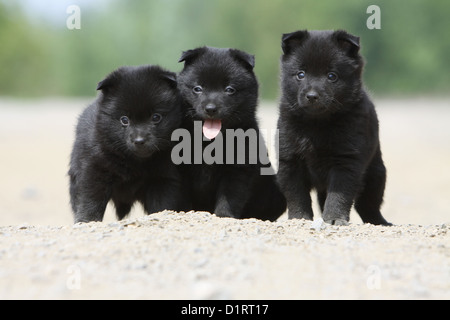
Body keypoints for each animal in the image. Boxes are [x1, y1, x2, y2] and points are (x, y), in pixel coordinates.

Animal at [68, 63, 185, 221]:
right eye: (124, 120)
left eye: (156, 117)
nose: (139, 140)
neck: (136, 161)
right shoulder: (94, 170)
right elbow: (90, 201)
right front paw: (87, 220)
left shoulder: (162, 178)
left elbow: (161, 205)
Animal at [176, 46, 284, 221]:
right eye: (197, 88)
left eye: (229, 90)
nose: (211, 109)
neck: (210, 141)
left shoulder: (238, 169)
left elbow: (229, 196)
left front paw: (224, 215)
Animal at [276, 30, 388, 225]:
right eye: (300, 74)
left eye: (331, 76)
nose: (312, 96)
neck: (317, 123)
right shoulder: (290, 161)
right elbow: (297, 195)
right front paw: (299, 218)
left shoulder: (346, 162)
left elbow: (338, 196)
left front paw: (335, 218)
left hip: (375, 176)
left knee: (368, 205)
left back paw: (380, 222)